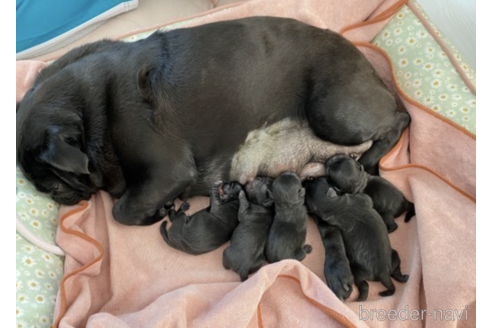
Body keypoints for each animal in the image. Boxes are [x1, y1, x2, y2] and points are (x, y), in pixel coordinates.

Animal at [15, 15, 410, 226]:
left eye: (51, 186)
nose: (64, 197)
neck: (90, 105)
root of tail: (370, 68)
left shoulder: (168, 172)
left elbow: (122, 210)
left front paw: (155, 211)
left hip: (335, 114)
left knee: (399, 118)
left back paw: (372, 158)